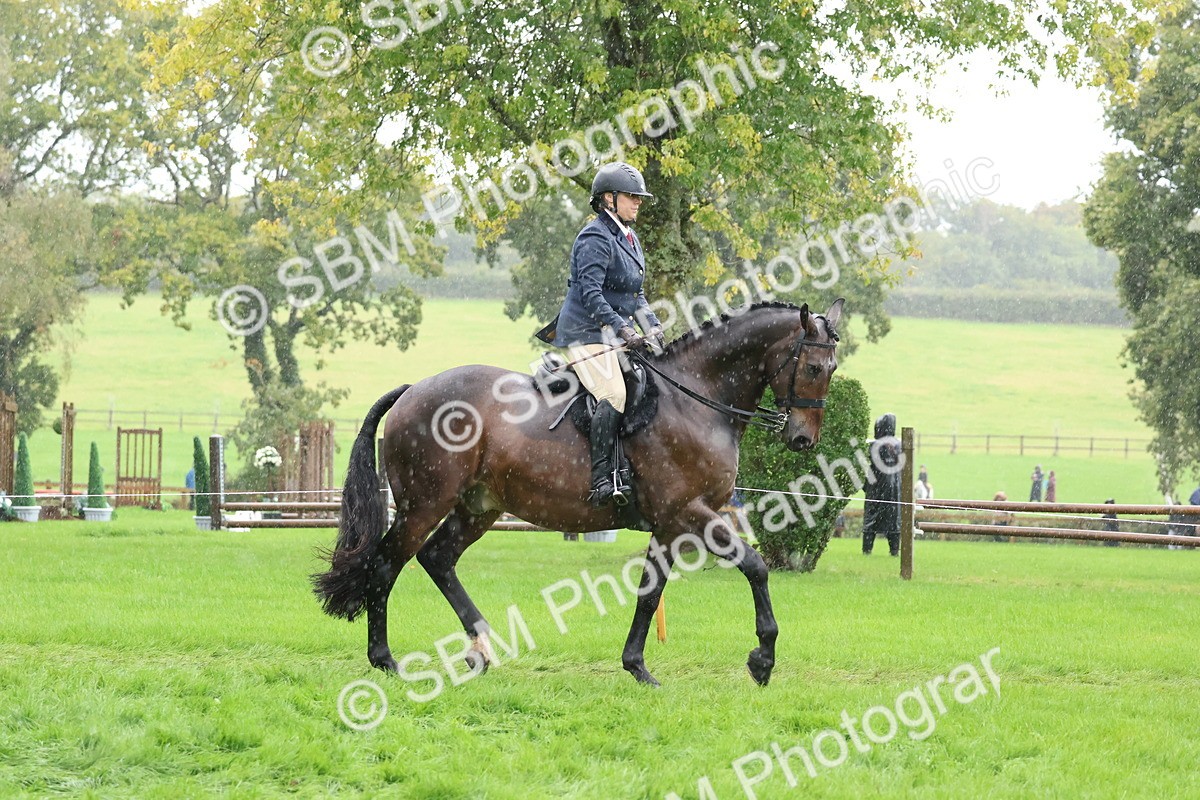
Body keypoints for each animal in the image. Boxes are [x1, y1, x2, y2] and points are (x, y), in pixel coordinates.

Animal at [313, 299, 843, 687]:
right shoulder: (689, 513)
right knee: (387, 566)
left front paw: (637, 667)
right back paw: (386, 660)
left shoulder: (671, 525)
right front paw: (762, 659)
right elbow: (755, 566)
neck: (696, 399)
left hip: (479, 507)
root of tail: (412, 389)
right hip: (423, 505)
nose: (802, 440)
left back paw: (482, 649)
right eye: (815, 368)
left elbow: (650, 592)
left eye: (833, 368)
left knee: (437, 559)